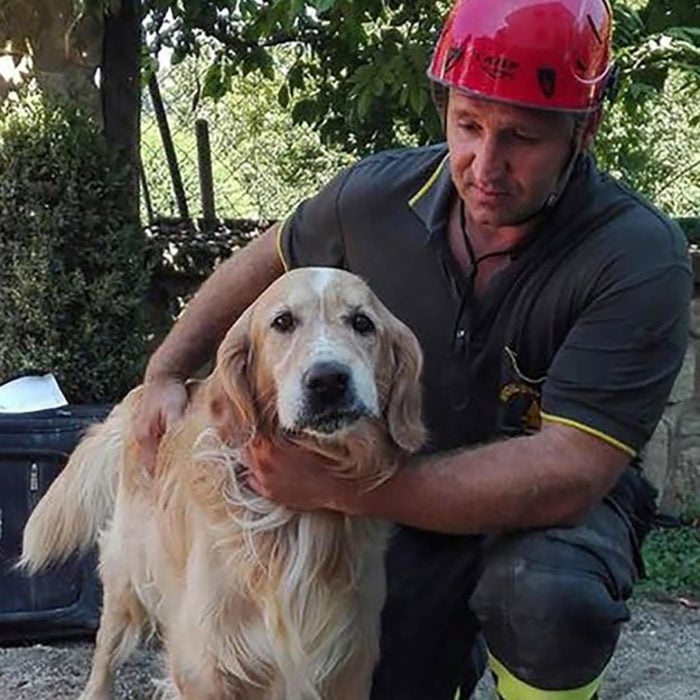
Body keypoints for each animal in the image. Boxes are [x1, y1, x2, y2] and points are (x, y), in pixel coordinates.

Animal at [21, 266, 424, 700]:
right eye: (283, 322)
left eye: (362, 323)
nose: (329, 379)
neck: (292, 523)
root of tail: (141, 392)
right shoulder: (205, 662)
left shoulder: (348, 660)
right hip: (126, 572)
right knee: (106, 648)